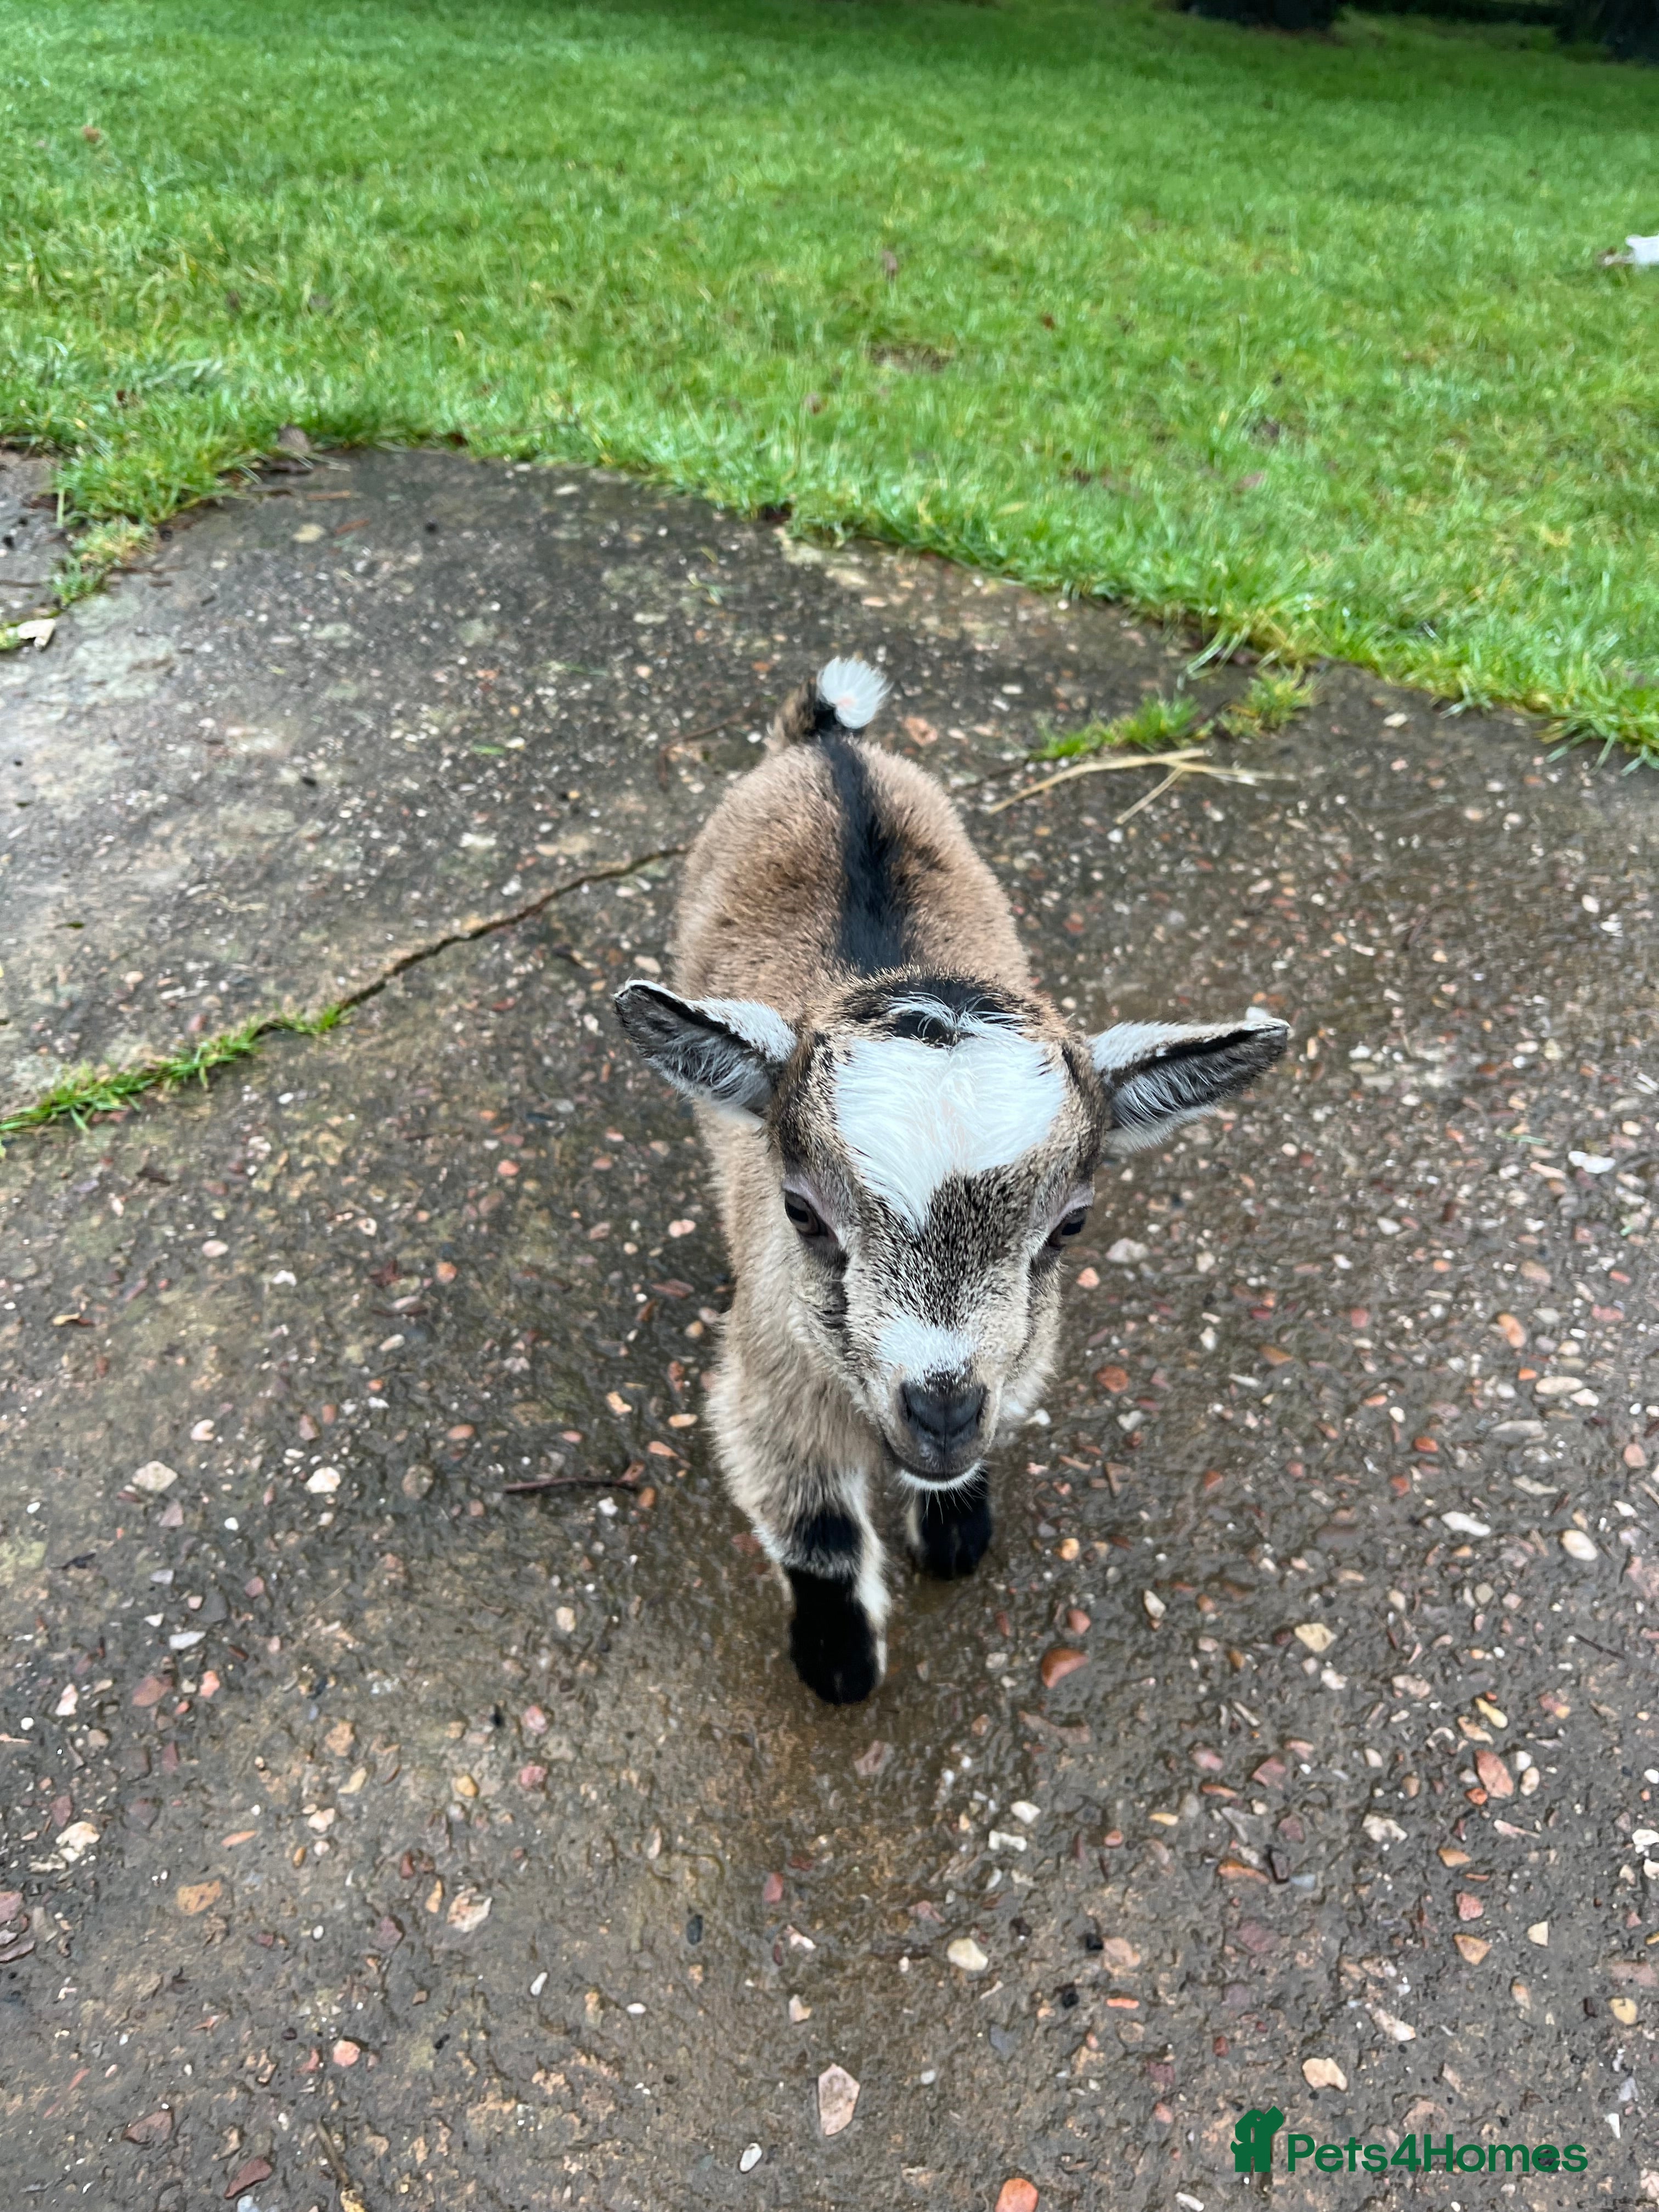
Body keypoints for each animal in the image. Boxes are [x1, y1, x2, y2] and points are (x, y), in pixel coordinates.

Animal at [615, 657, 1287, 1704]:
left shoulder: (1021, 1354)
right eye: (801, 1212)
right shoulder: (769, 1381)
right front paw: (839, 1662)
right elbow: (812, 1526)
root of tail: (826, 742)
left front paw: (958, 1528)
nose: (939, 1411)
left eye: (1070, 1225)